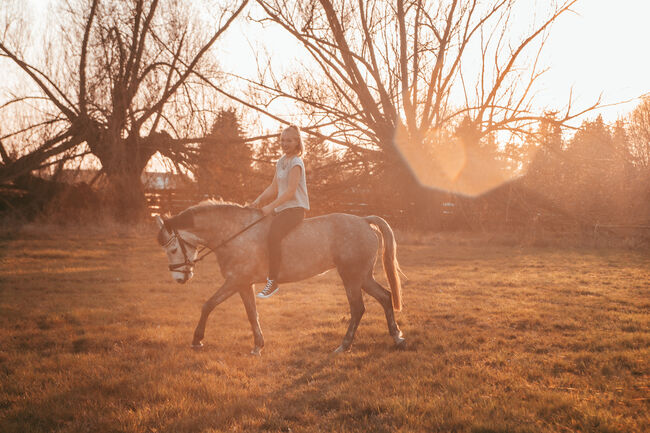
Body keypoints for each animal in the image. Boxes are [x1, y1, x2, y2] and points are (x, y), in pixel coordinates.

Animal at [154, 200, 402, 354]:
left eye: (173, 249)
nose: (179, 278)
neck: (234, 233)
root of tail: (363, 220)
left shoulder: (234, 281)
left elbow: (208, 305)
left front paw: (197, 340)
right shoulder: (244, 284)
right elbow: (252, 314)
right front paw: (258, 346)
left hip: (351, 276)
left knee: (358, 308)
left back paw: (344, 346)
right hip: (363, 277)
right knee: (385, 296)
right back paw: (397, 336)